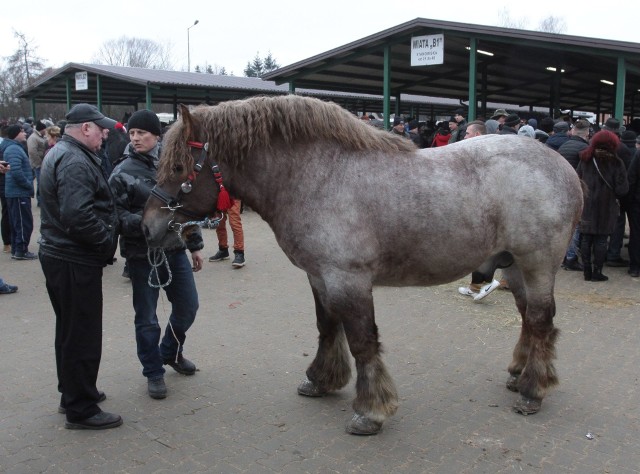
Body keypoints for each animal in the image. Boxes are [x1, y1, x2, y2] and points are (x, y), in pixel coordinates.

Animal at [142, 96, 584, 436]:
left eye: (179, 168)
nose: (148, 227)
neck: (317, 176)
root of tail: (561, 165)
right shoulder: (319, 277)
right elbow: (327, 327)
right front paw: (321, 380)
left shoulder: (349, 280)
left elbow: (362, 342)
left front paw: (370, 411)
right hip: (513, 265)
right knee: (528, 318)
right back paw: (518, 374)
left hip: (537, 264)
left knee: (541, 320)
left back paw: (533, 391)